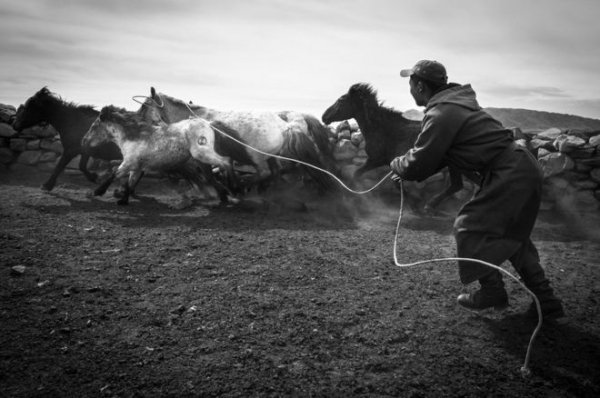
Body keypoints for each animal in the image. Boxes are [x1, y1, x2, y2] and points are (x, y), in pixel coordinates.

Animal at [83, 104, 233, 207]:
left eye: (93, 126)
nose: (83, 141)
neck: (133, 137)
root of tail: (209, 124)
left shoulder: (128, 163)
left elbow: (114, 174)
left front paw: (97, 191)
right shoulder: (137, 167)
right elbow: (130, 183)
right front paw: (123, 200)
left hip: (203, 155)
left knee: (226, 162)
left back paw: (232, 189)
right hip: (202, 161)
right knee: (213, 175)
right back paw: (224, 196)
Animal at [138, 87, 340, 194]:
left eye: (144, 105)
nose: (136, 121)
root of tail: (284, 125)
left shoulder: (202, 160)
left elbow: (211, 176)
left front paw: (226, 191)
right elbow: (222, 171)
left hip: (257, 157)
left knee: (267, 173)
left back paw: (244, 187)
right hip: (270, 156)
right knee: (275, 172)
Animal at [322, 83, 480, 211]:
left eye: (341, 100)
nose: (324, 116)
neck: (385, 129)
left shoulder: (379, 160)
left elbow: (363, 176)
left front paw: (413, 207)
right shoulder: (384, 162)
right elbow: (359, 175)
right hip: (457, 165)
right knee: (458, 185)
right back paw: (432, 205)